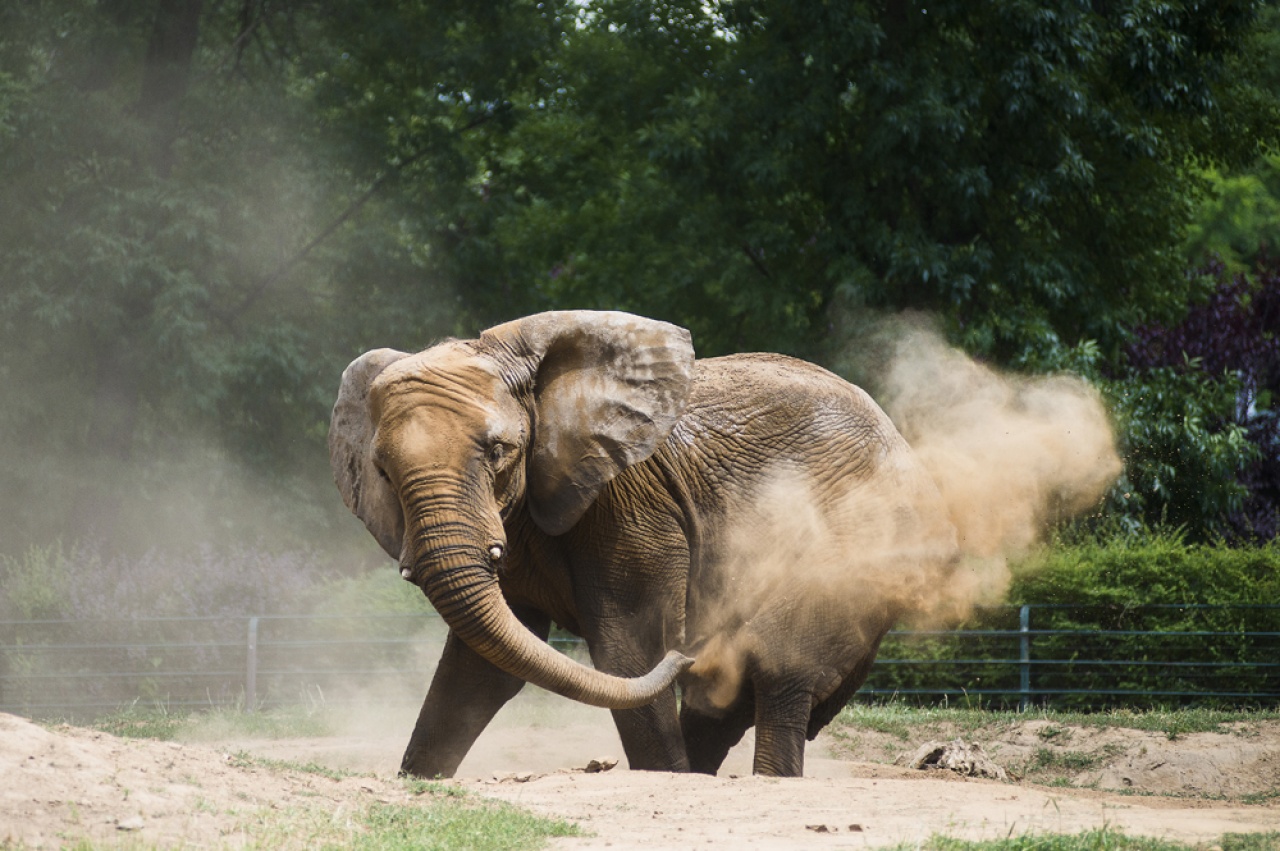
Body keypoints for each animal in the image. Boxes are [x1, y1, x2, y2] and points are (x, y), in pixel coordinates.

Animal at [330, 312, 962, 778]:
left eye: (498, 450)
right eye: (383, 472)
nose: (690, 648)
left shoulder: (629, 506)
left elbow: (628, 649)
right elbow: (478, 671)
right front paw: (418, 781)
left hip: (863, 545)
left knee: (779, 672)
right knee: (724, 703)